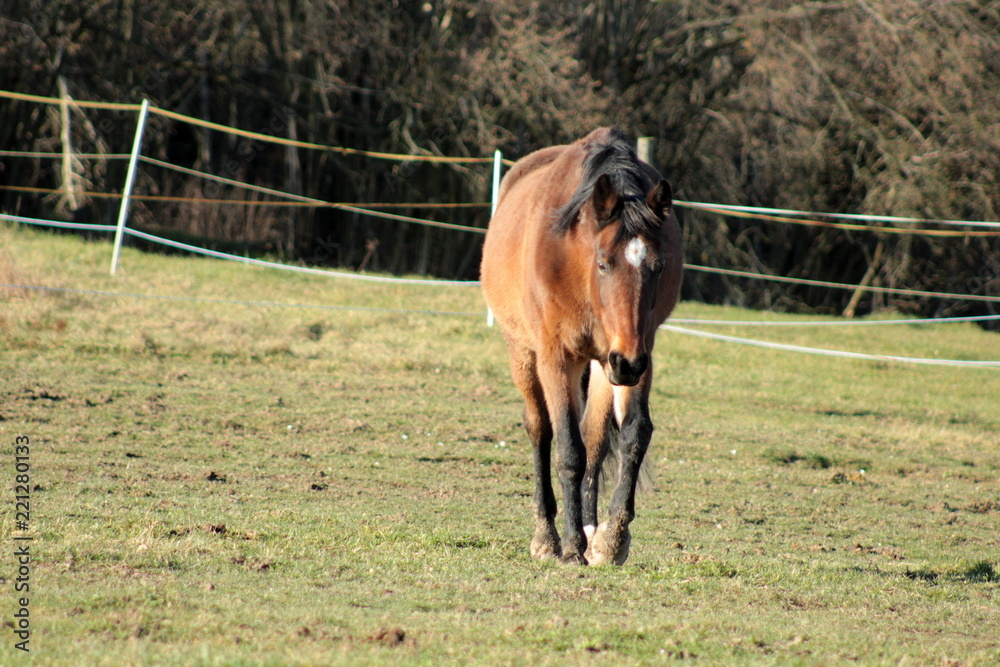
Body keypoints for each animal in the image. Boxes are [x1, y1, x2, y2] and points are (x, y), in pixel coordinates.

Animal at [480, 127, 684, 565]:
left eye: (658, 266)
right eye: (604, 262)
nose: (628, 363)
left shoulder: (635, 353)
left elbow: (631, 435)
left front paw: (610, 539)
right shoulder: (558, 358)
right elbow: (568, 449)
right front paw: (571, 545)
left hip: (606, 365)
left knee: (595, 439)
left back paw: (591, 529)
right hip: (525, 354)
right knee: (541, 430)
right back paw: (547, 537)